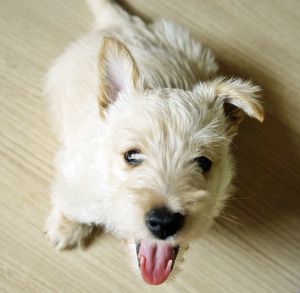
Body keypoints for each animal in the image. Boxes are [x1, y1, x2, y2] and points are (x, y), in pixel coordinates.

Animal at [44, 0, 262, 284]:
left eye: (203, 162)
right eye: (131, 156)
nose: (164, 222)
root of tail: (122, 22)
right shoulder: (79, 178)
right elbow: (74, 203)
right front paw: (66, 227)